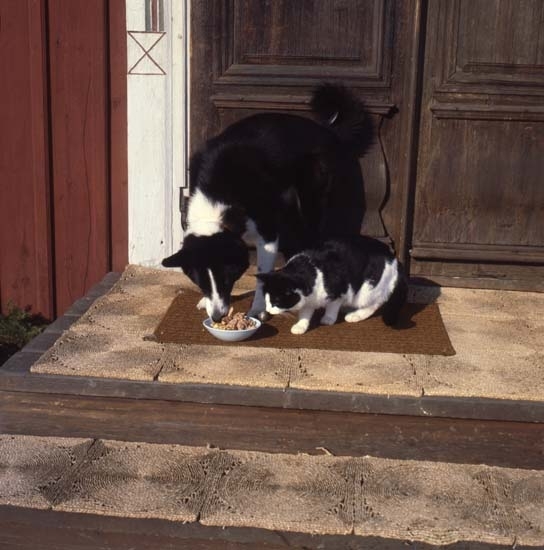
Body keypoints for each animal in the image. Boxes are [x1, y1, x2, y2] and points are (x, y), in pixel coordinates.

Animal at [162, 84, 374, 322]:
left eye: (226, 279)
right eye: (201, 283)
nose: (217, 317)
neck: (217, 198)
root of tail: (326, 130)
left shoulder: (268, 235)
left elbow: (262, 277)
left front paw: (257, 310)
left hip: (310, 201)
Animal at [258, 235, 406, 334]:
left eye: (276, 301)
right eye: (266, 300)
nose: (268, 310)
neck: (309, 269)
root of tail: (394, 258)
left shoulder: (340, 290)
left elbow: (332, 306)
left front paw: (328, 318)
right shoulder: (310, 299)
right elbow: (305, 313)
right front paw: (301, 325)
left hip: (367, 290)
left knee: (376, 304)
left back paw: (355, 315)